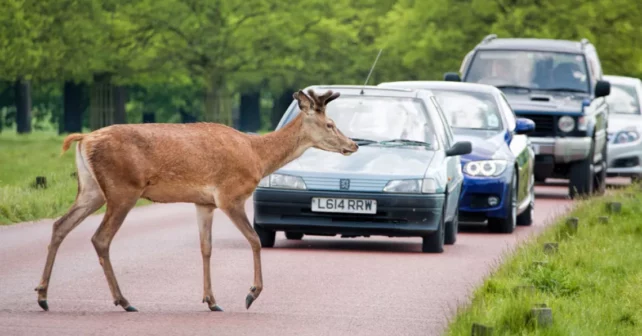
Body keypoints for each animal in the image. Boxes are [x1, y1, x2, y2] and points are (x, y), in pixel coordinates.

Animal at [35, 88, 358, 312]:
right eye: (330, 124)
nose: (353, 144)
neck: (257, 156)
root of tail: (84, 139)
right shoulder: (230, 195)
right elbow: (254, 240)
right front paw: (251, 294)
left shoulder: (204, 202)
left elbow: (206, 248)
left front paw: (211, 300)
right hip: (122, 189)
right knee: (100, 238)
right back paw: (123, 300)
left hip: (91, 189)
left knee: (60, 225)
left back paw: (43, 296)